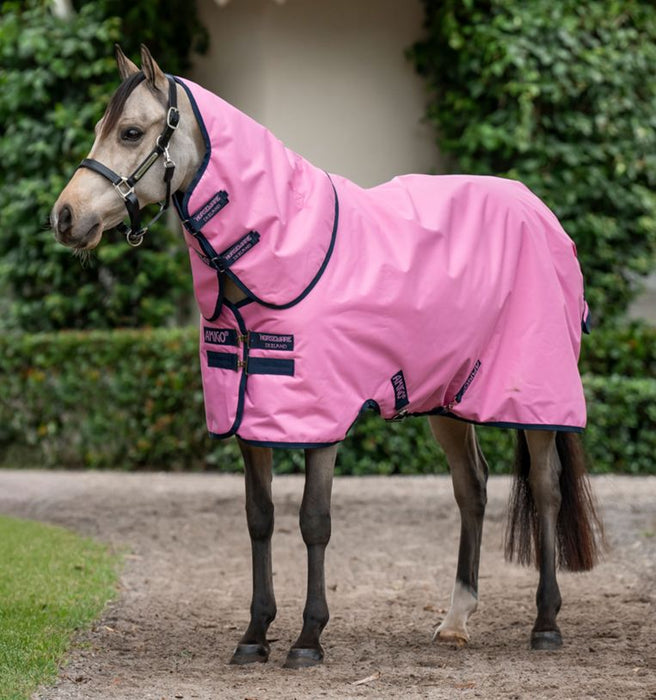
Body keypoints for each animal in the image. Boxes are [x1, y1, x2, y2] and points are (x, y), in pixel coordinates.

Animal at [51, 45, 603, 669]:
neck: (281, 250)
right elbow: (260, 519)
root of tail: (539, 209)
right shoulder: (250, 415)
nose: (64, 217)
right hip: (446, 399)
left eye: (130, 131)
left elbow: (313, 521)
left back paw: (546, 623)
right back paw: (456, 621)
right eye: (101, 129)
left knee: (547, 488)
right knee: (473, 488)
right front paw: (255, 634)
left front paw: (308, 638)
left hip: (536, 397)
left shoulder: (322, 418)